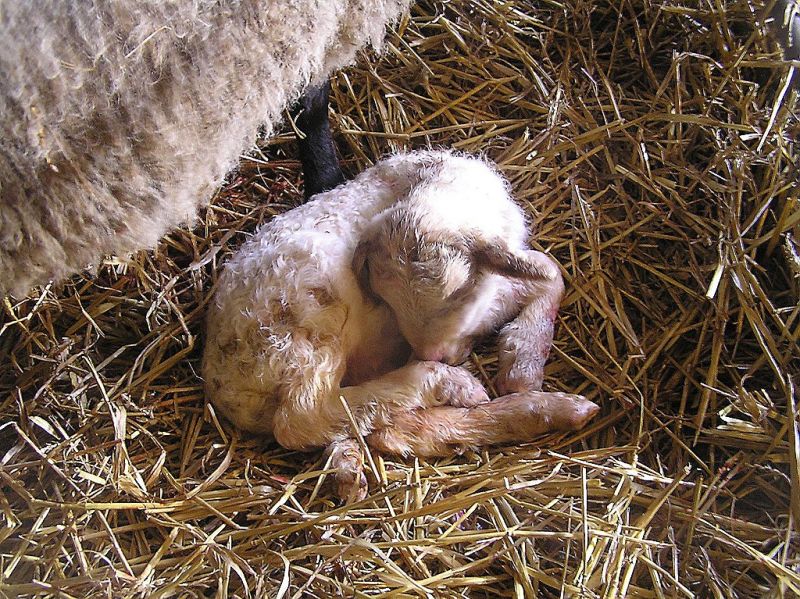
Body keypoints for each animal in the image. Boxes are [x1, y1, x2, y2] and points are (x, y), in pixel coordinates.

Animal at [203, 151, 596, 502]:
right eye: (387, 299)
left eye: (457, 294)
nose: (432, 355)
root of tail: (224, 387)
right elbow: (548, 269)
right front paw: (519, 371)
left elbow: (549, 273)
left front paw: (521, 367)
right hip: (306, 323)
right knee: (302, 416)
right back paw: (447, 383)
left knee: (395, 432)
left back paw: (548, 411)